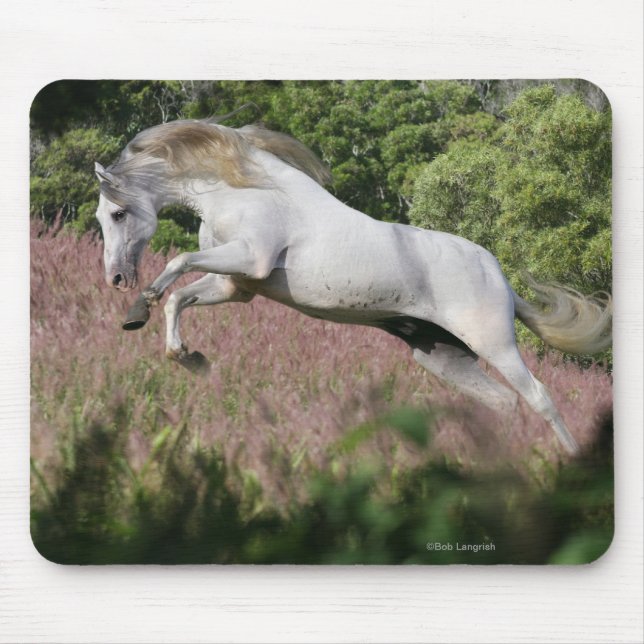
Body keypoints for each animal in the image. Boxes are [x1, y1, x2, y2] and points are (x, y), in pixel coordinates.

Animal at [93, 117, 611, 455]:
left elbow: (177, 263)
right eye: (102, 217)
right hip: (442, 356)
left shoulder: (250, 259)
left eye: (118, 213)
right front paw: (184, 354)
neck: (245, 190)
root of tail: (499, 276)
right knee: (504, 402)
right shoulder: (234, 285)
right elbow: (180, 297)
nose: (116, 278)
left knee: (539, 396)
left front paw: (141, 306)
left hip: (495, 344)